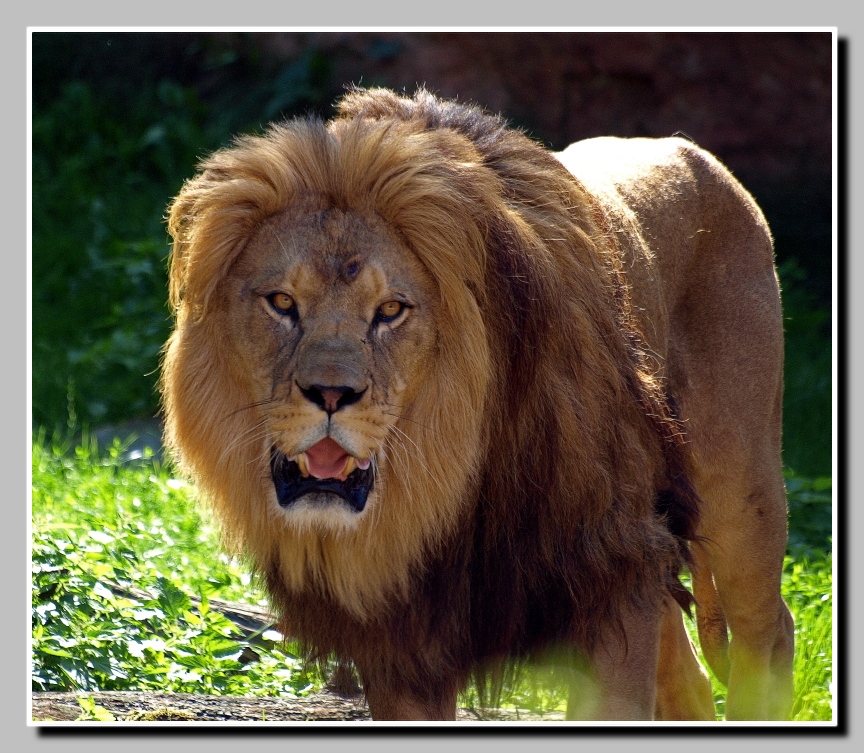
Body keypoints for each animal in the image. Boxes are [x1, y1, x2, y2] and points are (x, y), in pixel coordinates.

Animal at [162, 85, 796, 720]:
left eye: (391, 311)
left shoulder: (614, 572)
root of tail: (691, 151)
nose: (332, 394)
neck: (450, 492)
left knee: (769, 631)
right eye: (281, 302)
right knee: (688, 676)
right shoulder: (404, 646)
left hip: (740, 488)